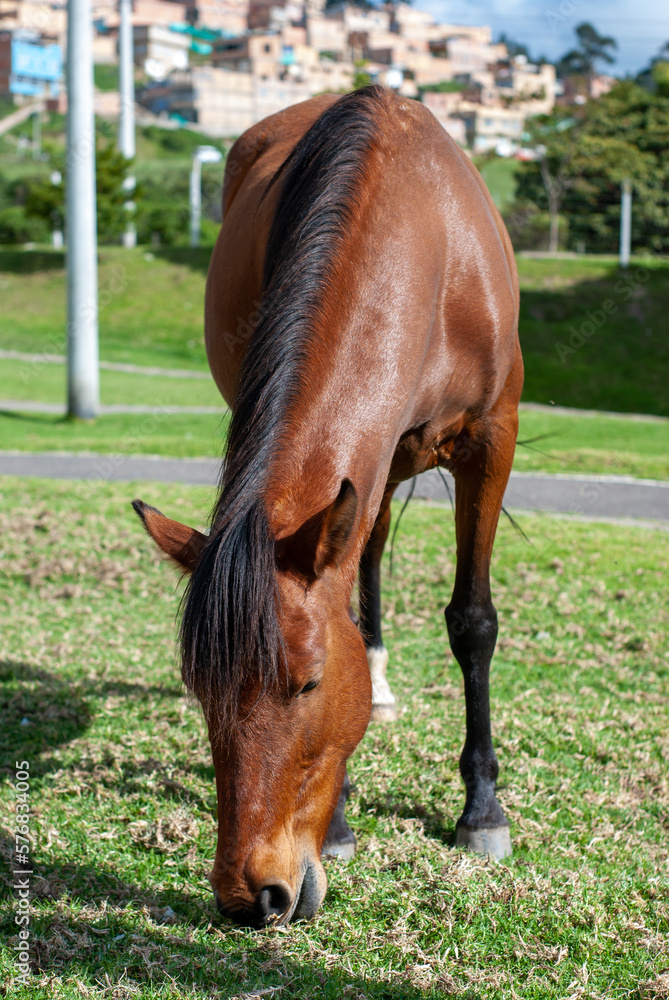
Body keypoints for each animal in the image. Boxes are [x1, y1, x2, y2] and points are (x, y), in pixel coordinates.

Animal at [133, 84, 523, 928]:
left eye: (308, 683)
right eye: (200, 691)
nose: (251, 896)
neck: (426, 243)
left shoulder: (491, 436)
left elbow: (472, 622)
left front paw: (481, 810)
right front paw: (339, 823)